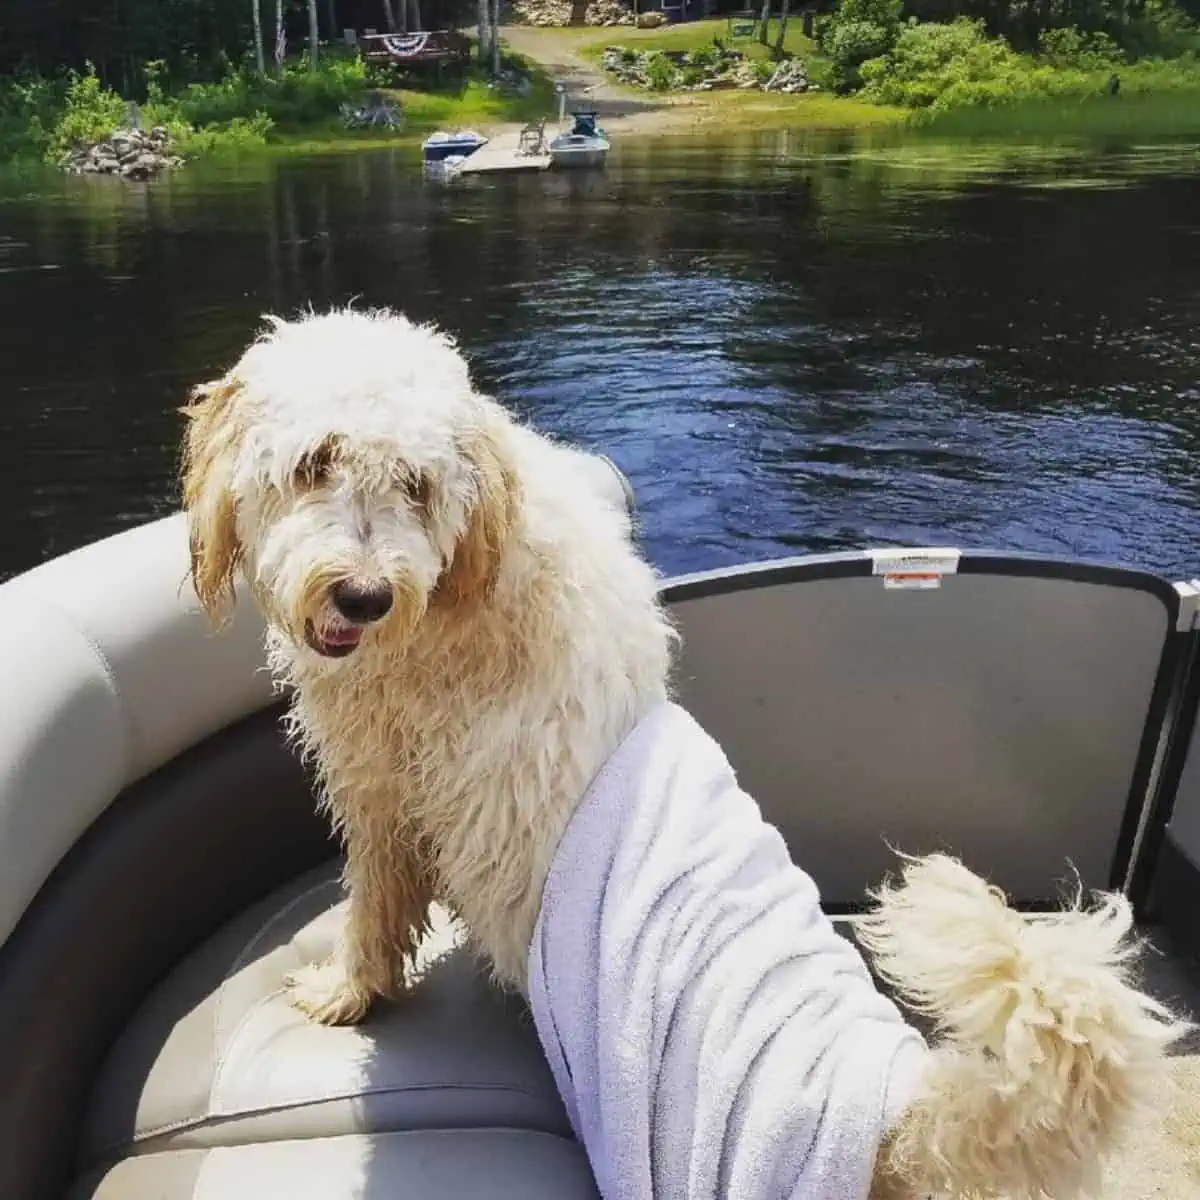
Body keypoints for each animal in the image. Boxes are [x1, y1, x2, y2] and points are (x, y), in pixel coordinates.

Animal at [182, 307, 1185, 1200]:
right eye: (314, 464)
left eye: (419, 487)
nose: (362, 597)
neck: (464, 588)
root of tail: (900, 1116)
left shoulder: (384, 793)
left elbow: (371, 910)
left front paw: (343, 992)